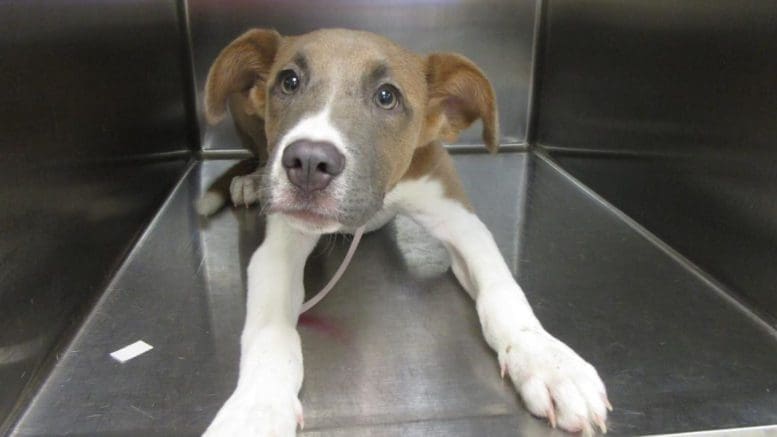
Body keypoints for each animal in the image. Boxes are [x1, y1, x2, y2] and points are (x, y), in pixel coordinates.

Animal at [199, 29, 608, 434]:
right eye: (289, 82)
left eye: (386, 96)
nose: (309, 162)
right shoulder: (278, 250)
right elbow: (270, 333)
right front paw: (256, 409)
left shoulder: (460, 220)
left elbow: (501, 291)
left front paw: (548, 361)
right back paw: (251, 181)